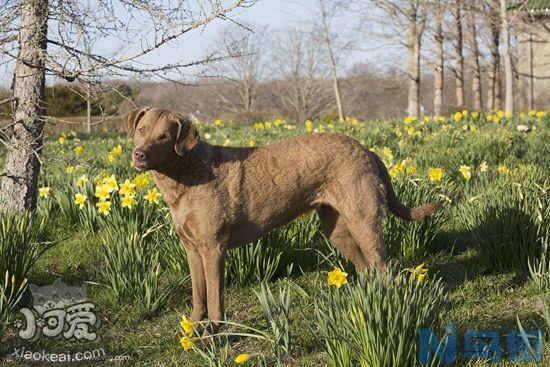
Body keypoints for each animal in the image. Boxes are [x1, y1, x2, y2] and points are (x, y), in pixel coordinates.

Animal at [125, 107, 444, 334]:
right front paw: (193, 327)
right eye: (141, 130)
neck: (184, 175)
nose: (139, 154)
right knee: (367, 270)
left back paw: (387, 308)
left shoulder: (213, 248)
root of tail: (368, 151)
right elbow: (198, 294)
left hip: (364, 221)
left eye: (165, 137)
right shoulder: (192, 249)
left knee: (384, 267)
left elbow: (215, 296)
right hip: (338, 230)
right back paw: (366, 305)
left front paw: (214, 332)